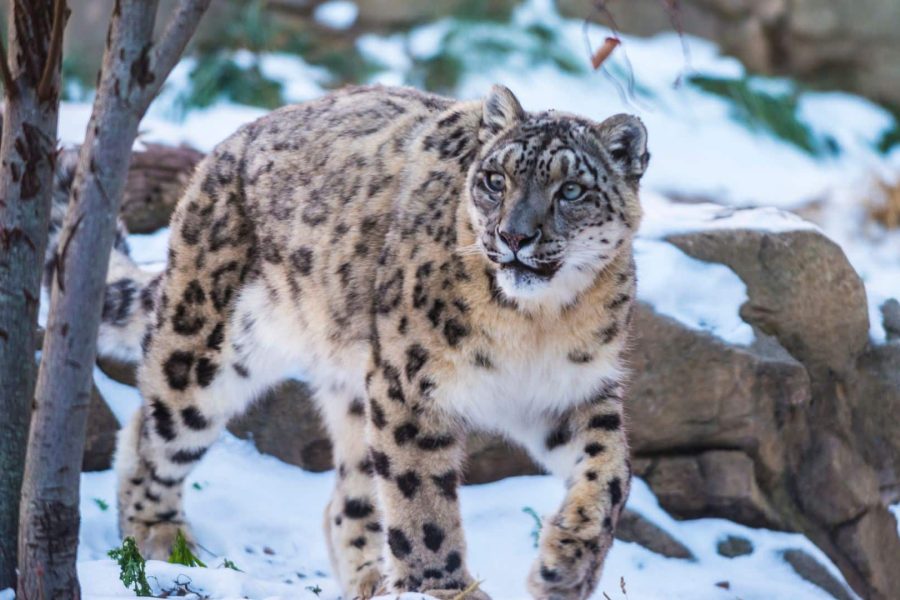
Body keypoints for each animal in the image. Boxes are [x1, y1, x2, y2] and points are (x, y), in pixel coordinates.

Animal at [49, 84, 649, 599]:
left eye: (571, 190)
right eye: (496, 179)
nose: (515, 236)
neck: (536, 324)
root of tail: (221, 150)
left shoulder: (571, 393)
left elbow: (611, 475)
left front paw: (564, 567)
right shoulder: (410, 385)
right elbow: (421, 503)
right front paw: (443, 589)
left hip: (357, 391)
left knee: (347, 500)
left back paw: (370, 581)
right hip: (209, 349)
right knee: (153, 431)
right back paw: (158, 539)